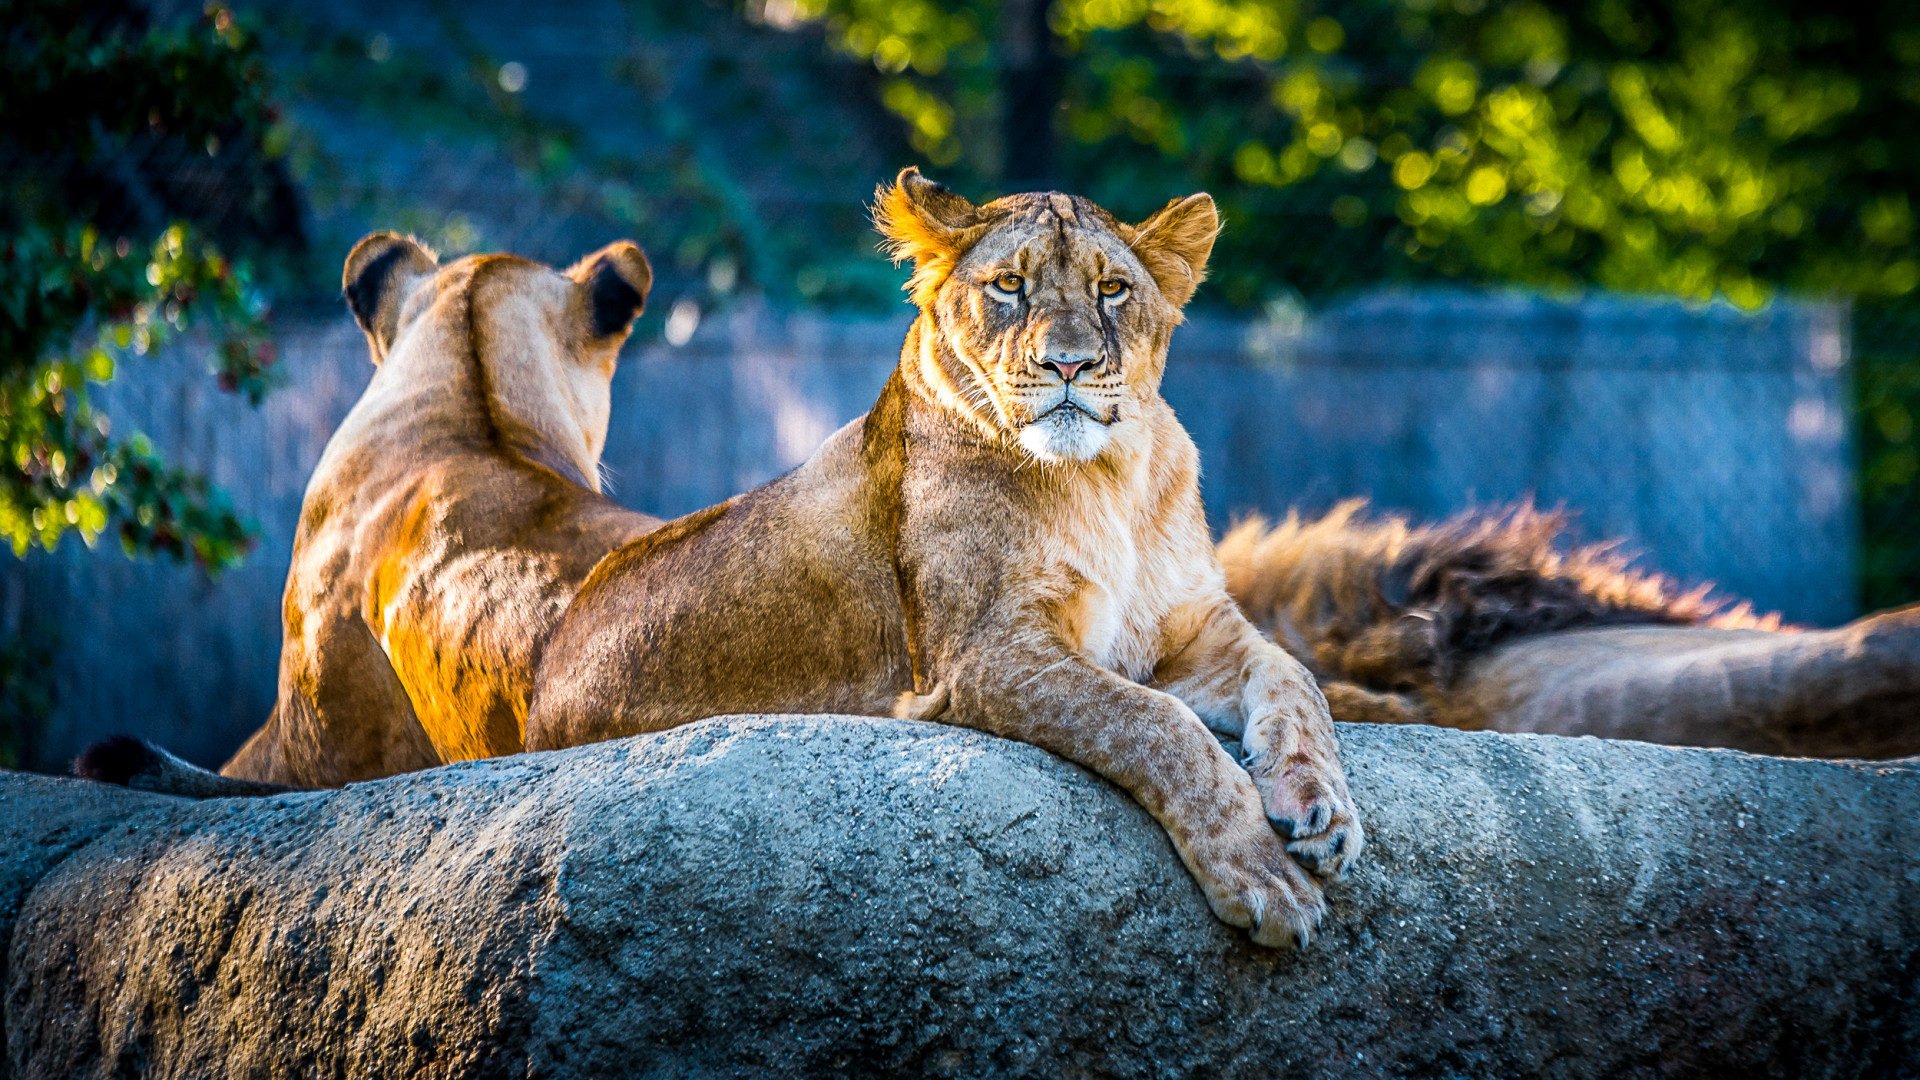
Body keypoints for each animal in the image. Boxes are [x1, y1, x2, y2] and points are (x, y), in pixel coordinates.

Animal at [523, 168, 1361, 948]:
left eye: (1113, 289)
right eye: (1010, 286)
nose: (1068, 365)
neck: (1108, 477)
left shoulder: (1186, 629)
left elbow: (1295, 675)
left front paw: (1319, 807)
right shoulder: (986, 656)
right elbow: (1157, 724)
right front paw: (1262, 875)